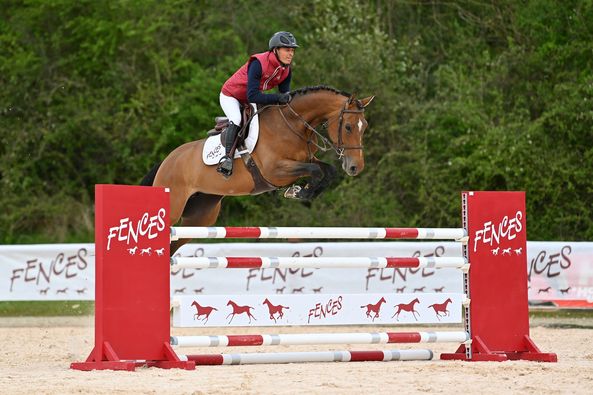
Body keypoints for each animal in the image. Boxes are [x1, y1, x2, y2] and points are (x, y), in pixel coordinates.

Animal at [140, 85, 372, 255]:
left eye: (365, 127)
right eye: (348, 127)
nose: (355, 167)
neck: (293, 125)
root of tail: (167, 160)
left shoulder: (304, 160)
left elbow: (327, 170)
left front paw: (302, 191)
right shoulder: (274, 171)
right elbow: (315, 170)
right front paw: (299, 192)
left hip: (199, 216)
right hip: (174, 207)